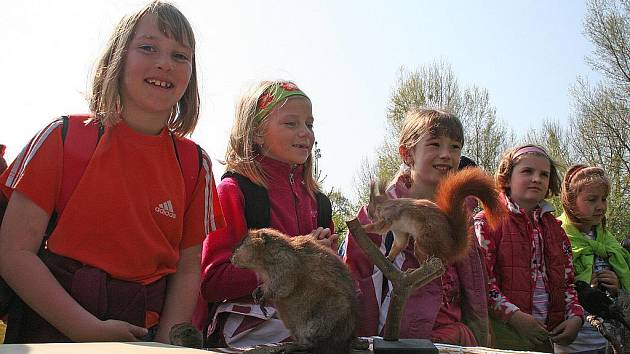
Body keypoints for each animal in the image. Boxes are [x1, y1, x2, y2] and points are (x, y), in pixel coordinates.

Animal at [232, 228, 360, 354]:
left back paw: (294, 347)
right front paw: (256, 292)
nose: (230, 257)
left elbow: (282, 283)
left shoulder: (284, 262)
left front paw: (262, 296)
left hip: (323, 319)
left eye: (242, 241)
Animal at [368, 168, 506, 262]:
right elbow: (399, 244)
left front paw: (365, 228)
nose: (369, 216)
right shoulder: (399, 230)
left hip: (425, 239)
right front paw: (389, 257)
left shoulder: (390, 216)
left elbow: (380, 228)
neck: (384, 205)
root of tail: (450, 250)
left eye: (369, 208)